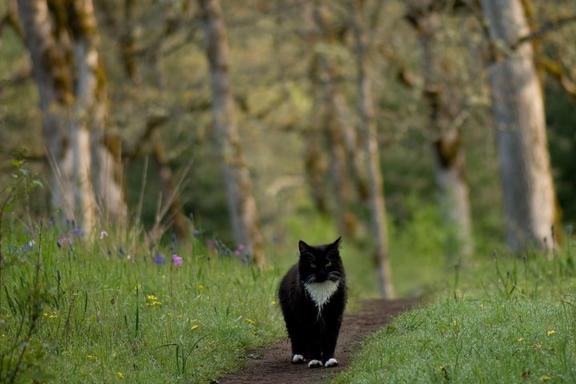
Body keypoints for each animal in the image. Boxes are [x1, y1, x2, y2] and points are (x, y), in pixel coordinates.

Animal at [278, 237, 346, 368]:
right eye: (313, 264)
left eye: (328, 263)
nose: (322, 273)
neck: (321, 290)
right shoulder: (307, 316)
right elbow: (313, 340)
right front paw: (315, 361)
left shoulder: (334, 315)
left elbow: (330, 339)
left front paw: (329, 360)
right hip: (290, 316)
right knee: (296, 336)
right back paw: (298, 356)